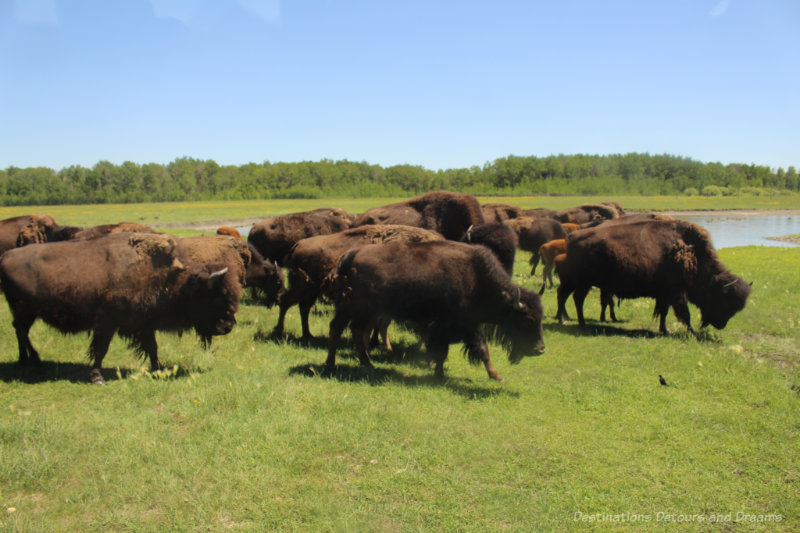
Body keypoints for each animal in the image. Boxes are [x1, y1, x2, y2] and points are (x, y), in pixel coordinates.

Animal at [0, 233, 242, 382]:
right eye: (217, 296)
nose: (228, 326)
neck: (175, 279)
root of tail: (7, 256)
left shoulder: (144, 324)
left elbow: (152, 348)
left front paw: (158, 369)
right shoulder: (107, 322)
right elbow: (101, 349)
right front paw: (97, 377)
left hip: (25, 312)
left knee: (20, 331)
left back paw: (26, 361)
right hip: (25, 310)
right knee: (22, 331)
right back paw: (35, 362)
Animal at [276, 223, 444, 338]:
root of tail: (300, 243)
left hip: (311, 290)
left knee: (303, 307)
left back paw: (307, 335)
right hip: (302, 287)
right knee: (286, 302)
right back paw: (279, 332)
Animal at [324, 239, 544, 380]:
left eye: (541, 318)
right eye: (526, 319)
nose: (540, 349)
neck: (475, 277)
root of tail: (350, 256)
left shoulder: (467, 326)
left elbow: (479, 349)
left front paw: (495, 375)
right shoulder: (451, 326)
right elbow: (455, 350)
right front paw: (440, 374)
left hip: (364, 312)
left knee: (355, 331)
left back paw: (367, 364)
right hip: (352, 308)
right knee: (337, 329)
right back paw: (331, 365)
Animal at [556, 218, 752, 330]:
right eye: (723, 300)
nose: (721, 325)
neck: (694, 254)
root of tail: (571, 237)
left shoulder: (665, 295)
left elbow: (663, 312)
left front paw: (664, 329)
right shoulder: (677, 293)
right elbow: (684, 314)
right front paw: (690, 332)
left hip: (581, 282)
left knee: (569, 296)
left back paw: (573, 321)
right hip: (580, 281)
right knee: (571, 297)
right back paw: (575, 323)